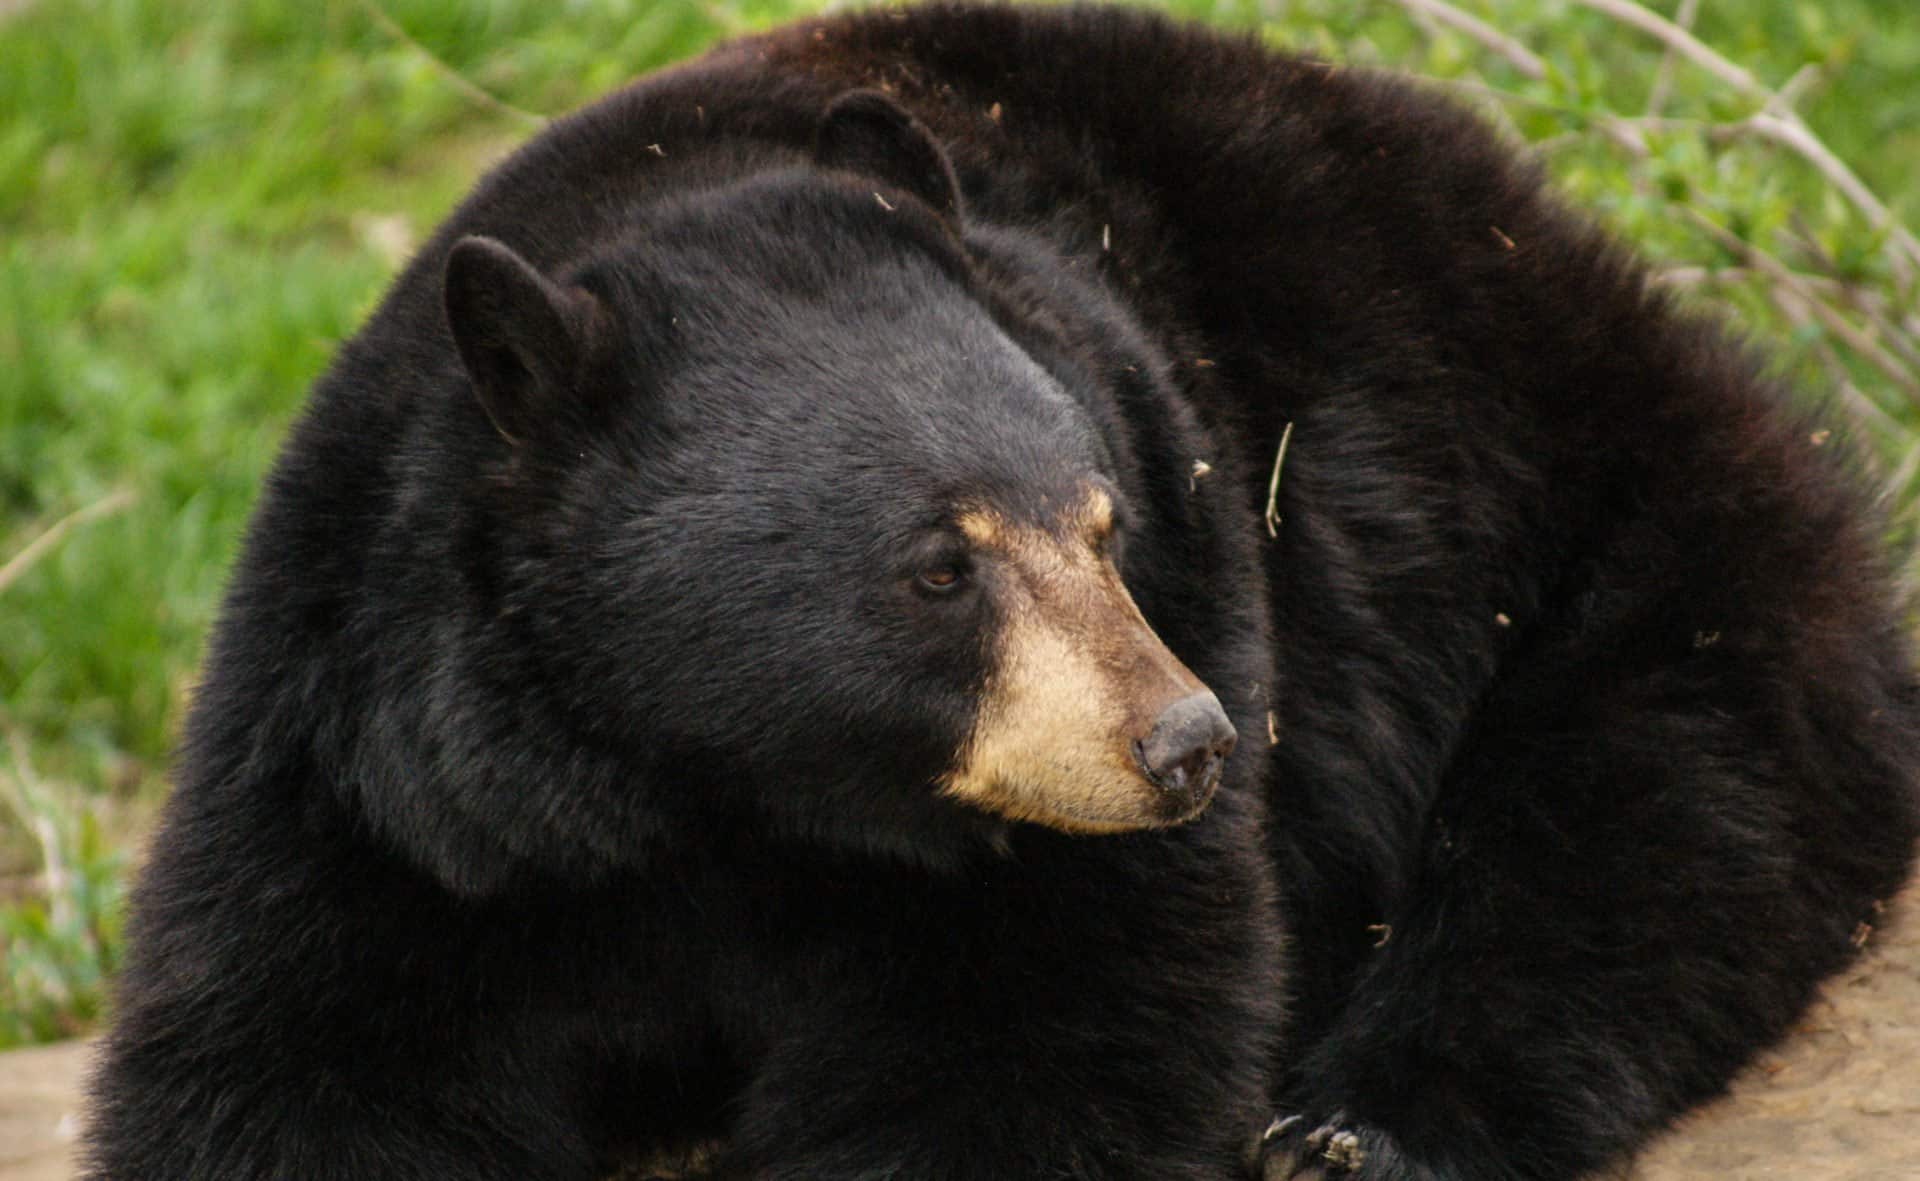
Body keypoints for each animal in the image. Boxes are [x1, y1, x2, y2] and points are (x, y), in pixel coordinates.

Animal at [84, 4, 1919, 1180]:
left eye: (1103, 521)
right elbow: (300, 1051)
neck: (719, 799)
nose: (1187, 746)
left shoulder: (1171, 654)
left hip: (1587, 498)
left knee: (1659, 794)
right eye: (935, 565)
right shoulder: (389, 758)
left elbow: (1040, 1044)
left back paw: (1360, 1125)